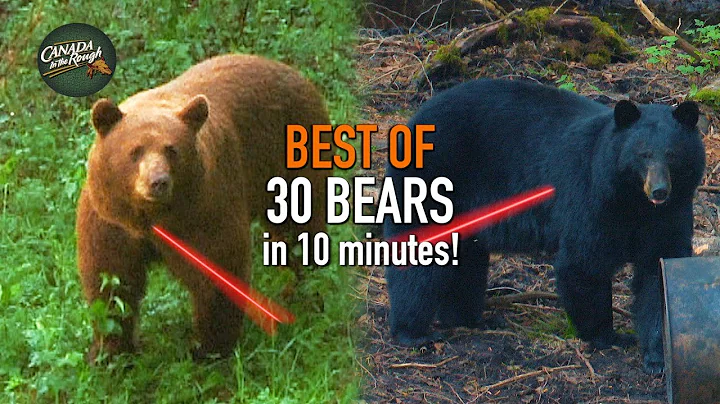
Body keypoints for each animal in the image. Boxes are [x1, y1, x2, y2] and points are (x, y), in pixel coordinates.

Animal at [77, 54, 332, 361]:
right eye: (135, 151)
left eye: (171, 149)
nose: (158, 182)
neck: (150, 217)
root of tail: (294, 73)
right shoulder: (110, 218)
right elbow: (111, 281)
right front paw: (110, 351)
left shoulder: (204, 209)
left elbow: (218, 269)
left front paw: (210, 347)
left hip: (292, 155)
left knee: (299, 229)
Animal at [383, 78, 705, 374]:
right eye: (643, 154)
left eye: (672, 154)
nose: (659, 190)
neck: (634, 204)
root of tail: (417, 115)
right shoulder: (591, 199)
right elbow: (582, 263)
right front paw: (607, 335)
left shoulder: (670, 215)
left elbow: (658, 272)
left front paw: (658, 356)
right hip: (435, 180)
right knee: (419, 256)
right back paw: (413, 332)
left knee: (466, 259)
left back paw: (468, 318)